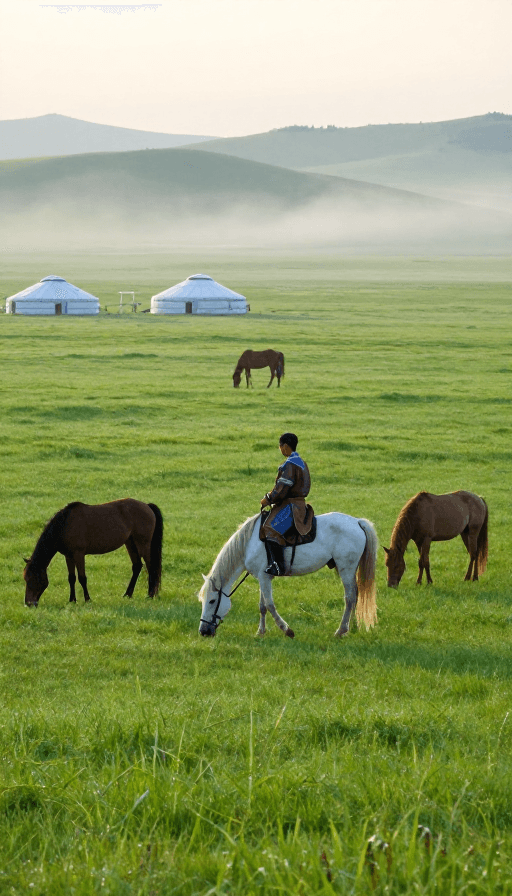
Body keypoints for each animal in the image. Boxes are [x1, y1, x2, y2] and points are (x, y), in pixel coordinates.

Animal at [24, 499, 163, 606]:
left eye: (32, 578)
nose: (28, 604)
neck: (64, 525)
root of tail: (147, 506)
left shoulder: (79, 554)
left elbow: (82, 578)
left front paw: (87, 600)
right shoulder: (68, 556)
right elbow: (71, 578)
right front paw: (72, 600)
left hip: (143, 544)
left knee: (151, 568)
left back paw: (150, 595)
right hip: (130, 543)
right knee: (137, 566)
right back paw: (127, 594)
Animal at [198, 511, 378, 639]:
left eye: (212, 601)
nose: (203, 631)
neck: (248, 544)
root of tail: (357, 522)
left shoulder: (264, 578)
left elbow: (270, 605)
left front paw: (287, 630)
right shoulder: (262, 578)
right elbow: (262, 606)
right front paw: (261, 632)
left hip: (346, 569)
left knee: (350, 597)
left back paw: (341, 630)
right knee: (356, 594)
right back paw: (352, 627)